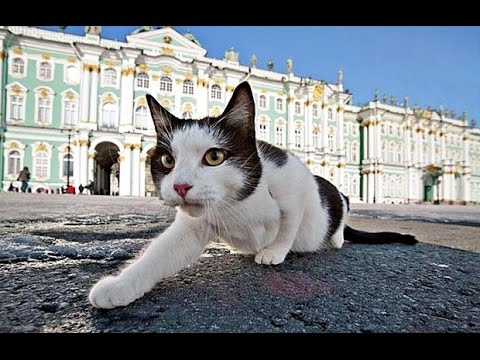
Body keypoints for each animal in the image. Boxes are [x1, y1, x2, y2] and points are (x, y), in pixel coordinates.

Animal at [89, 81, 416, 310]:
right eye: (168, 161)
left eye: (214, 157)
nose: (181, 186)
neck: (236, 203)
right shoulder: (193, 227)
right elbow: (158, 254)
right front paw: (120, 286)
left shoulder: (295, 180)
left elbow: (289, 223)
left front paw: (274, 251)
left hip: (330, 191)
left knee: (343, 204)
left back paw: (335, 238)